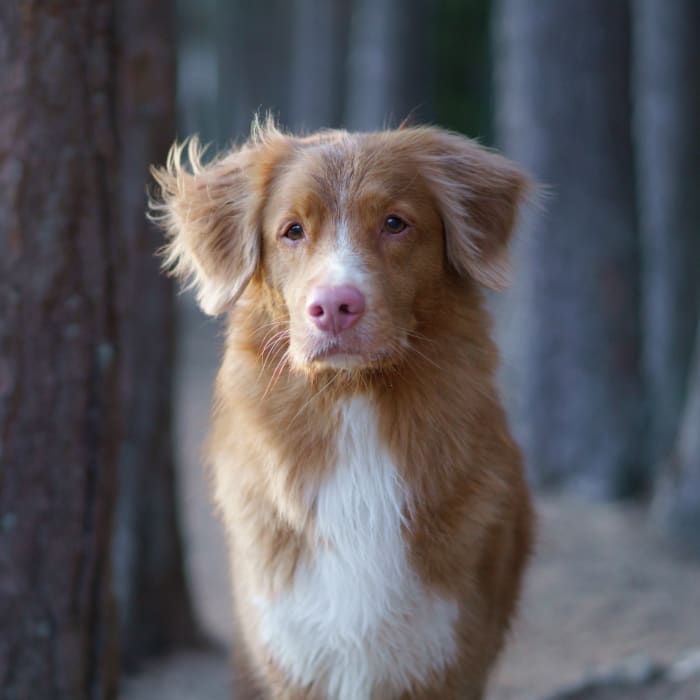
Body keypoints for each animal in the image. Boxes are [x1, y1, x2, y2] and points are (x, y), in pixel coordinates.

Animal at [150, 120, 532, 700]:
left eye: (395, 223)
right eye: (292, 231)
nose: (333, 306)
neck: (351, 401)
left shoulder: (449, 653)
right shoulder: (289, 651)